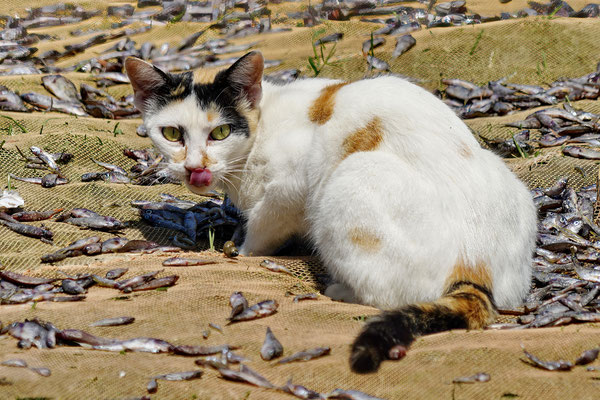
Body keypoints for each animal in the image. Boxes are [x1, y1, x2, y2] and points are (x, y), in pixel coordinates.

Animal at [125, 51, 536, 374]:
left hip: (347, 183)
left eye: (221, 133)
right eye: (172, 134)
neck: (262, 123)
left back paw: (337, 289)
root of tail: (475, 263)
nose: (194, 167)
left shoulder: (289, 190)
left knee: (386, 295)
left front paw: (242, 250)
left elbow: (263, 226)